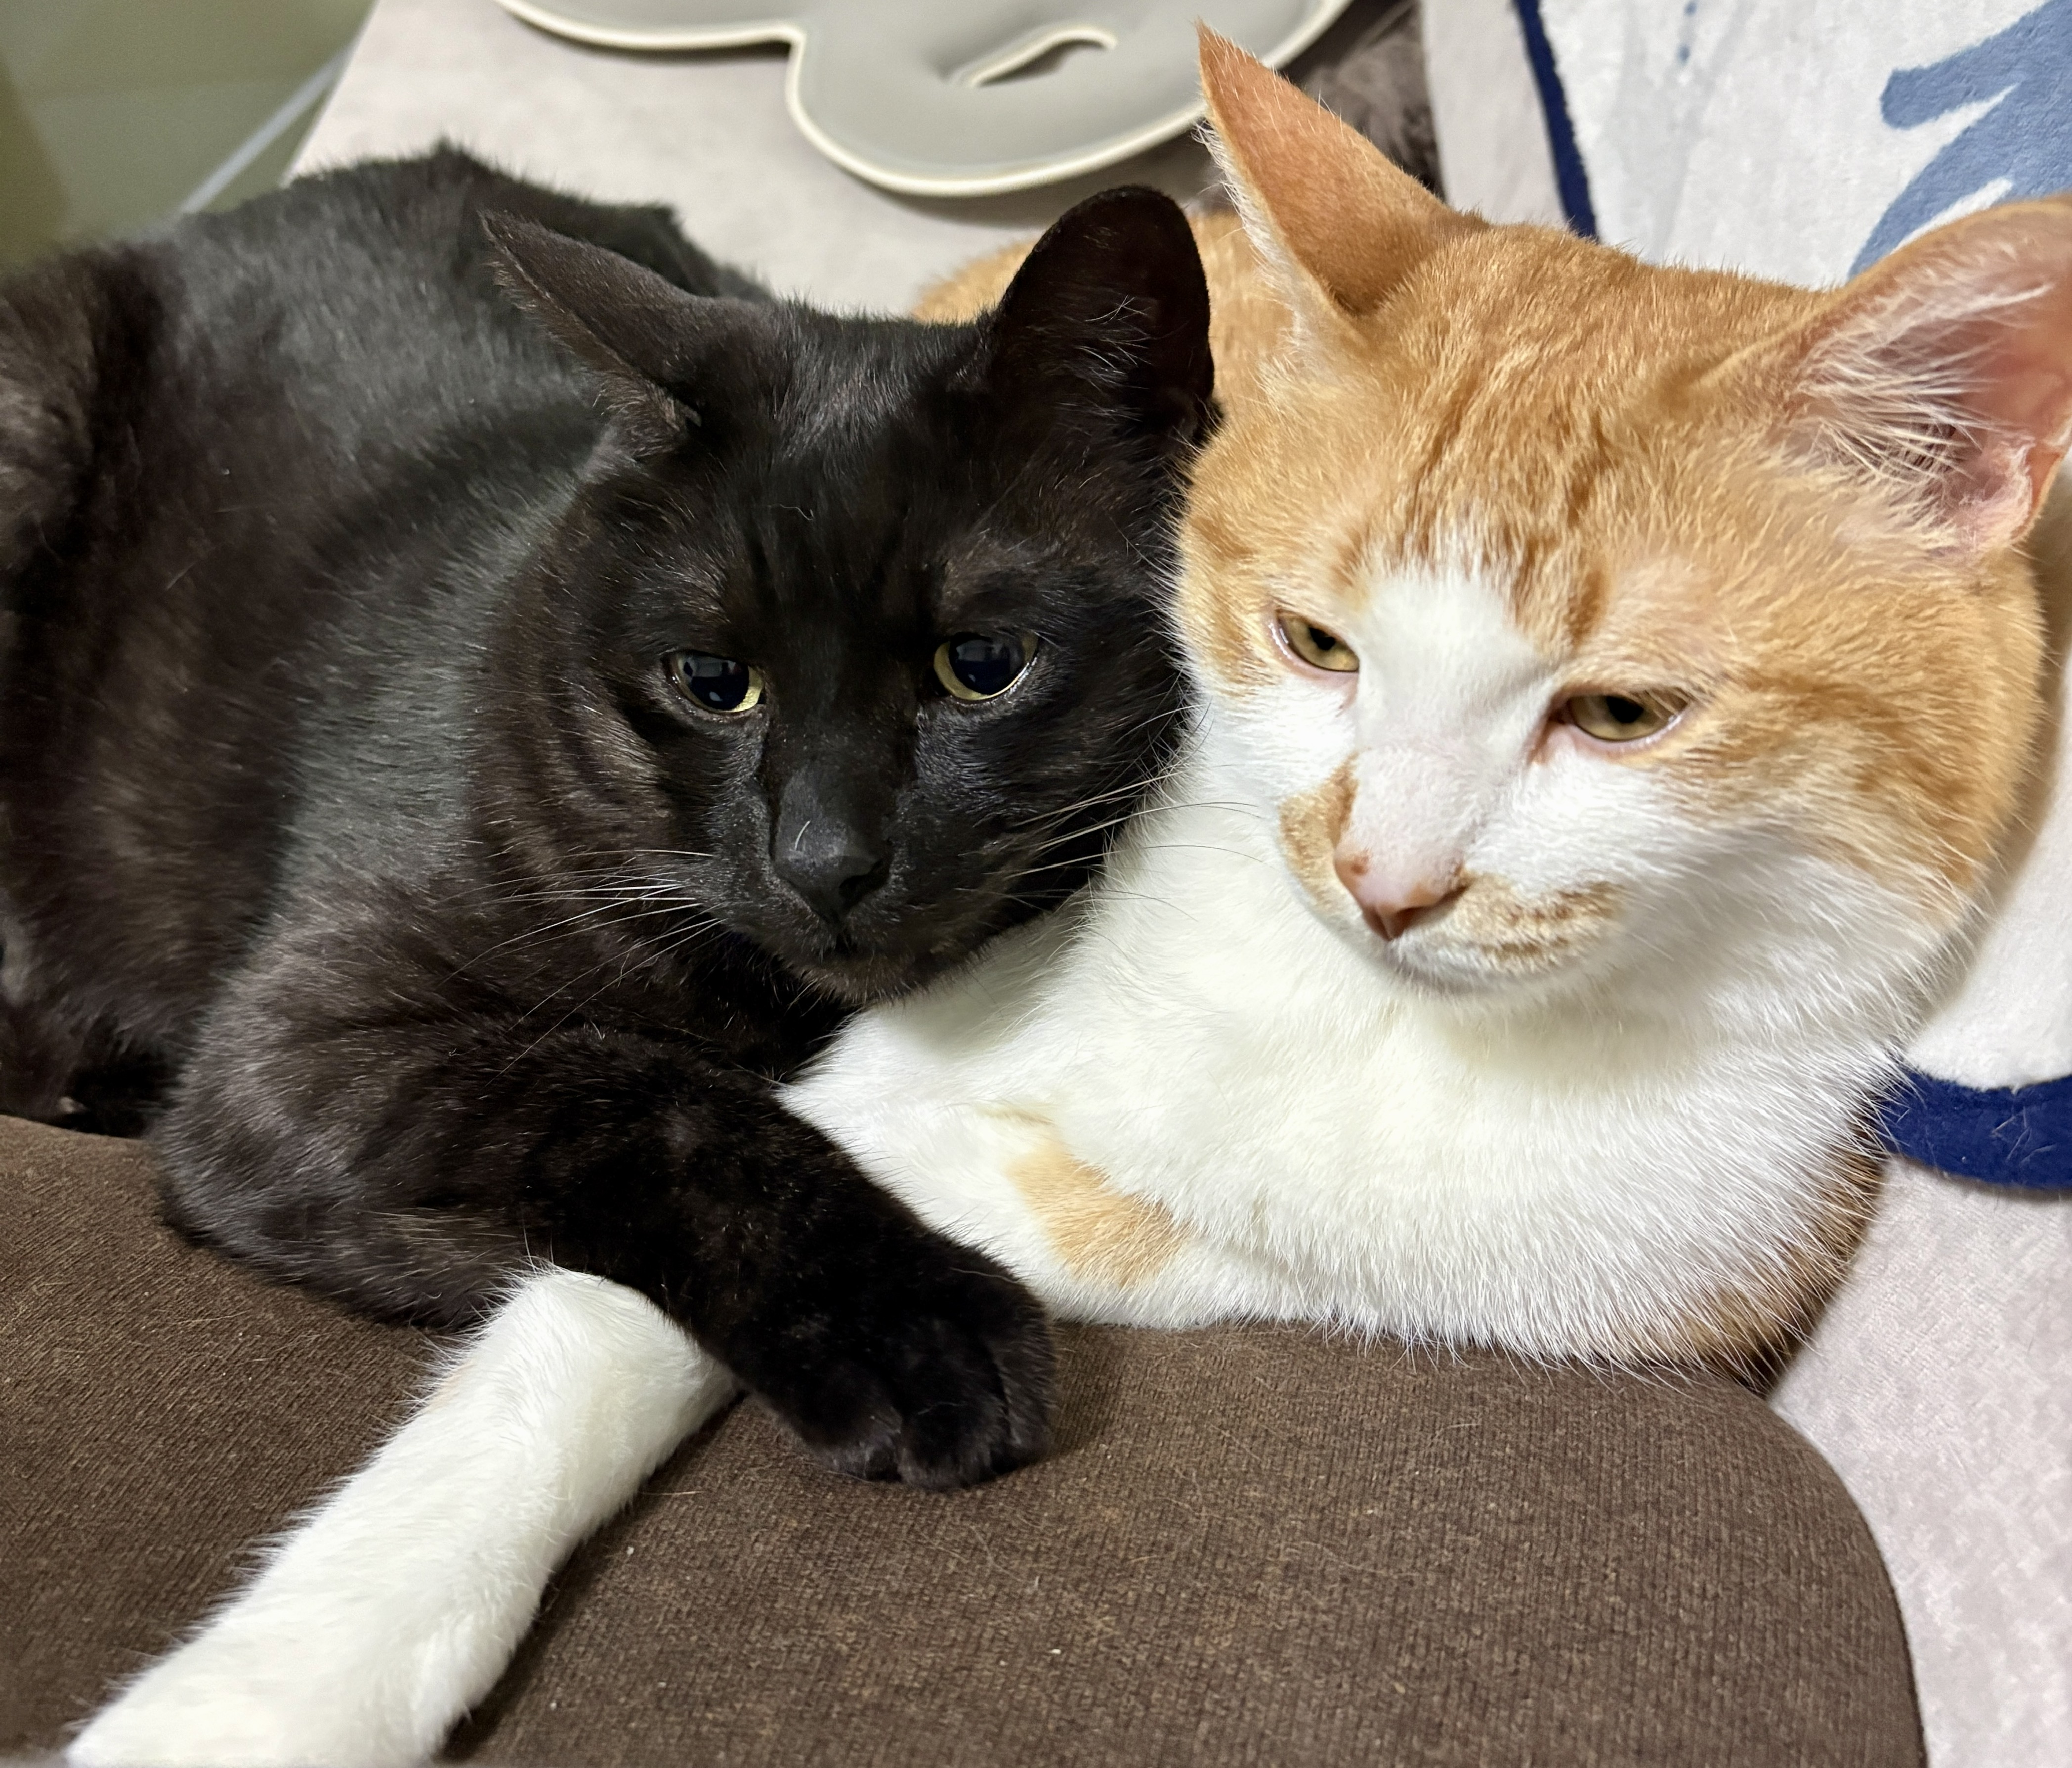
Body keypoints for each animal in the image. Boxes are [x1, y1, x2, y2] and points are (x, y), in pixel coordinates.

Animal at [0, 148, 1214, 1503]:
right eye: (713, 680)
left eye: (983, 665)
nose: (823, 859)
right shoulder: (294, 1046)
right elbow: (655, 1104)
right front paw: (918, 1331)